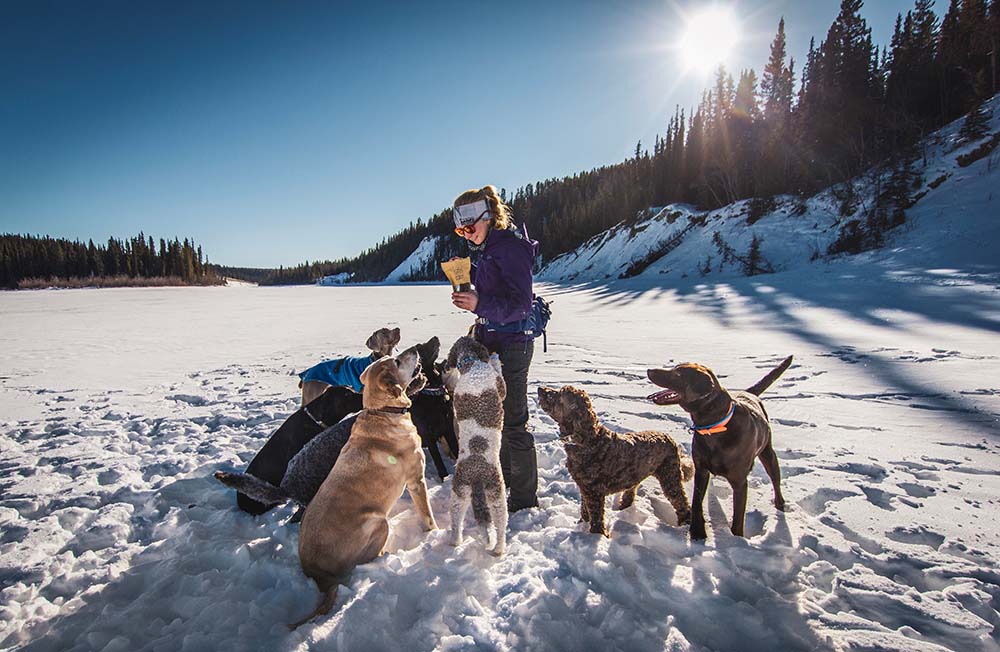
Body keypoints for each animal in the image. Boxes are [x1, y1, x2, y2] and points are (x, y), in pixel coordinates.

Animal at [290, 348, 438, 628]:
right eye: (397, 361)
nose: (414, 349)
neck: (383, 411)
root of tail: (315, 572)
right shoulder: (417, 480)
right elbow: (427, 515)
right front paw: (435, 533)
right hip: (378, 522)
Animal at [446, 336, 508, 556]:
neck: (470, 364)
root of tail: (476, 472)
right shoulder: (500, 385)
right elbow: (500, 378)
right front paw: (495, 358)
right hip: (497, 494)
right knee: (500, 525)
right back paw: (499, 549)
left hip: (459, 492)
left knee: (456, 521)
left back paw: (455, 542)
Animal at [536, 384, 692, 536]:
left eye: (559, 394)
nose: (540, 389)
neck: (588, 441)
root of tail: (671, 439)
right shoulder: (584, 487)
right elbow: (584, 510)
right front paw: (582, 525)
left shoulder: (594, 491)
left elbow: (596, 517)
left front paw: (596, 536)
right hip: (637, 473)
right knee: (632, 490)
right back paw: (623, 507)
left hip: (669, 475)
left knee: (681, 501)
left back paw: (685, 523)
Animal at [644, 356, 792, 540]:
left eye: (678, 373)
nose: (649, 370)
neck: (714, 427)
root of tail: (748, 393)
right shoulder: (701, 470)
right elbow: (697, 502)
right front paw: (697, 532)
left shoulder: (740, 482)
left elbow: (738, 518)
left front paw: (737, 541)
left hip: (768, 454)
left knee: (775, 480)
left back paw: (780, 506)